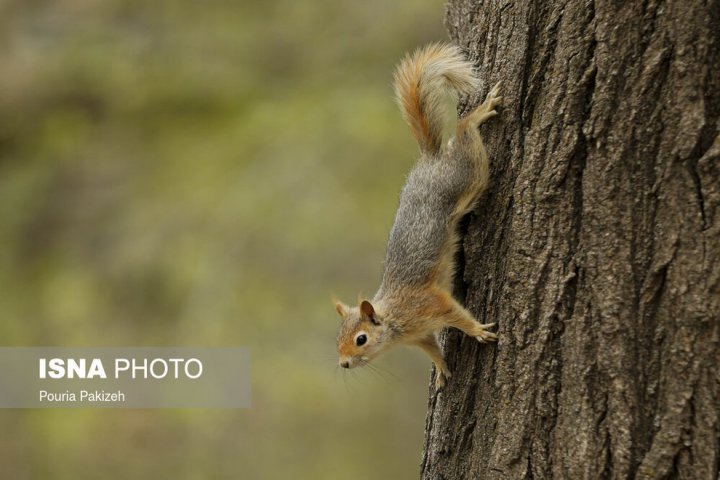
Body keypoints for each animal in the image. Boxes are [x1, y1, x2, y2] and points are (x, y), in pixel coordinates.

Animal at [334, 44, 498, 390]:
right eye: (337, 338)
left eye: (360, 339)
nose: (343, 363)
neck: (395, 323)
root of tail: (430, 159)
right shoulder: (420, 336)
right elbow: (432, 349)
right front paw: (441, 370)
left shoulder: (430, 304)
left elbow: (457, 315)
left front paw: (477, 330)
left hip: (466, 177)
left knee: (464, 132)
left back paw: (479, 113)